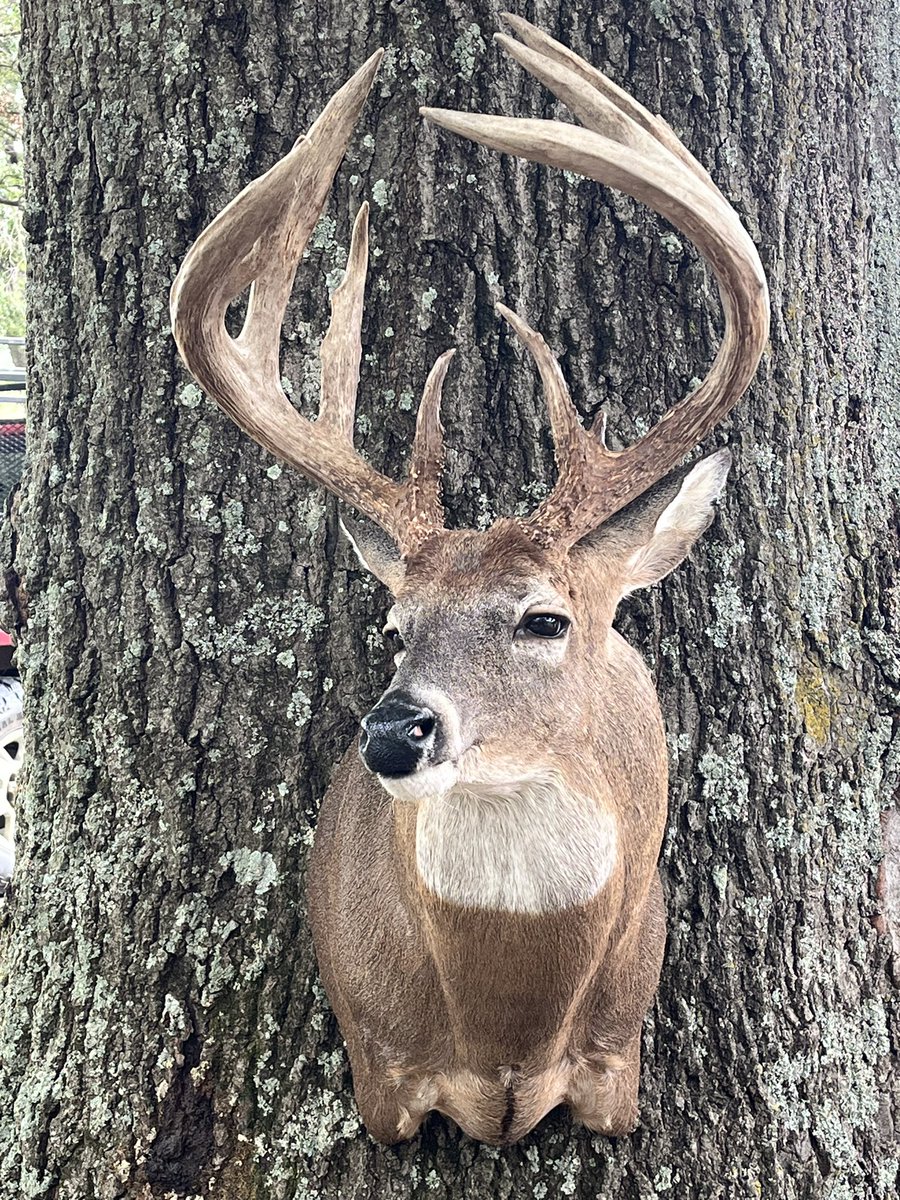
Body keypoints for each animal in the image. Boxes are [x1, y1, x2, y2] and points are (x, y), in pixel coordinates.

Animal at [171, 16, 768, 1146]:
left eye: (544, 619)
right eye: (396, 625)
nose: (394, 731)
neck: (506, 1039)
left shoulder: (615, 1061)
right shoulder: (384, 1073)